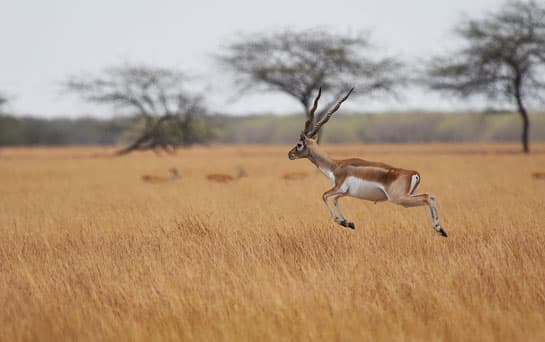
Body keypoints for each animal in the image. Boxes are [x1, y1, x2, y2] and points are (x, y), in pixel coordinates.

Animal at [286, 88, 448, 238]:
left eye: (299, 144)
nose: (290, 154)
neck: (335, 165)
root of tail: (413, 173)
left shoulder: (338, 187)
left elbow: (324, 196)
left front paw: (342, 222)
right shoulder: (344, 192)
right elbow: (336, 200)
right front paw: (348, 223)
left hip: (399, 198)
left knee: (427, 197)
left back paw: (439, 229)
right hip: (408, 196)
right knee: (430, 197)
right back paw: (440, 230)